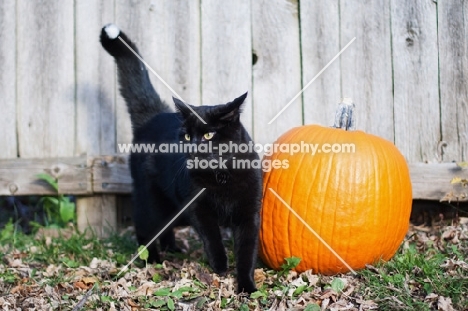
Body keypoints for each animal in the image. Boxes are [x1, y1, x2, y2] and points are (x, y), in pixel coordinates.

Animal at [100, 24, 262, 294]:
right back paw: (153, 259)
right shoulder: (196, 206)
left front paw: (247, 286)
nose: (193, 146)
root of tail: (153, 116)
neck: (221, 177)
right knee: (145, 229)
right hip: (151, 201)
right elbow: (211, 235)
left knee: (166, 228)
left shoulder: (249, 211)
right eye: (186, 136)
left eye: (208, 134)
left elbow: (247, 251)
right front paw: (220, 265)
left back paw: (173, 249)